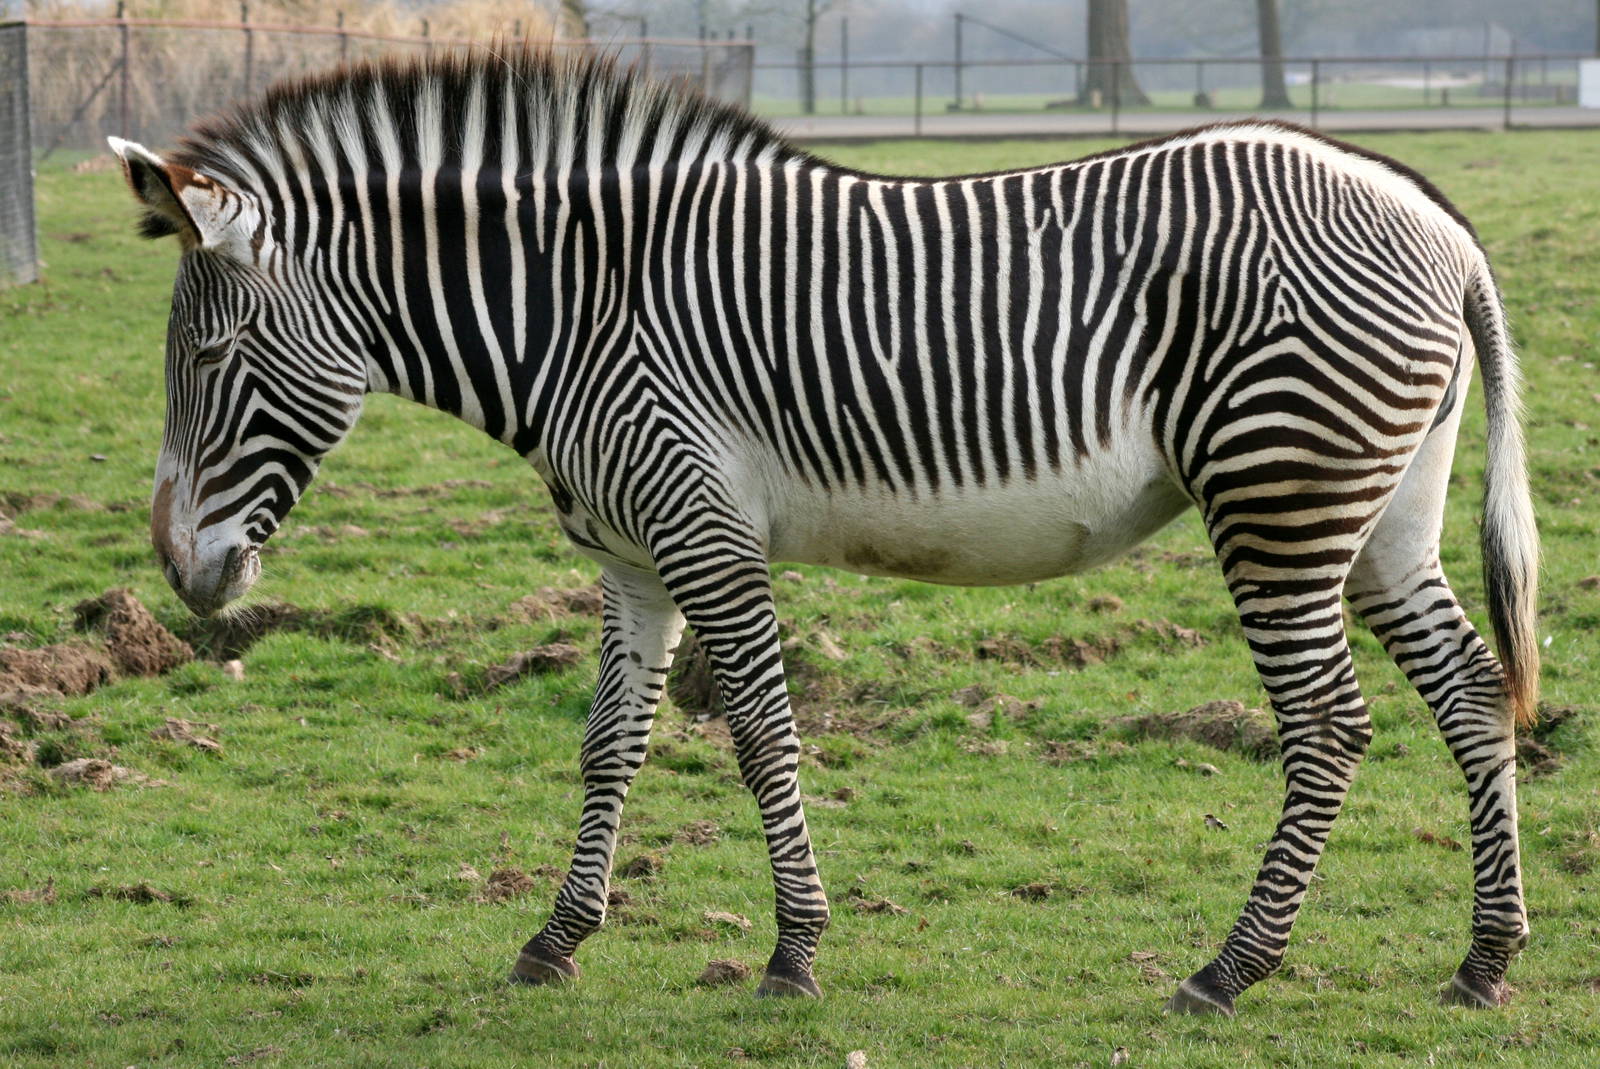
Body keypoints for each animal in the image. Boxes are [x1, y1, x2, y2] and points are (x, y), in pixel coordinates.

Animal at [108, 48, 1539, 1016]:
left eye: (215, 358)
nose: (178, 572)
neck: (576, 315)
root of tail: (1436, 218)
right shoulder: (632, 560)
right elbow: (607, 745)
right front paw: (556, 940)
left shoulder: (703, 530)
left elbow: (757, 731)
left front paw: (794, 951)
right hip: (1382, 514)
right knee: (1473, 692)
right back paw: (1483, 957)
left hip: (1279, 497)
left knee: (1330, 726)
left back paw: (1231, 967)